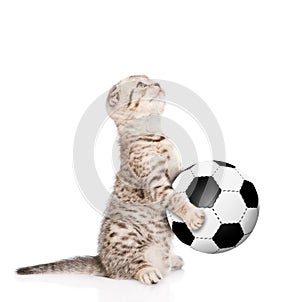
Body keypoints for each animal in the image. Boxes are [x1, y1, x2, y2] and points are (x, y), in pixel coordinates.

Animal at [16, 75, 204, 286]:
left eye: (150, 80)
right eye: (141, 85)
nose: (157, 84)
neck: (154, 133)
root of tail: (102, 262)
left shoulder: (175, 170)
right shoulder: (154, 184)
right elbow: (175, 197)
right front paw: (192, 214)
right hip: (123, 235)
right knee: (128, 266)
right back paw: (147, 271)